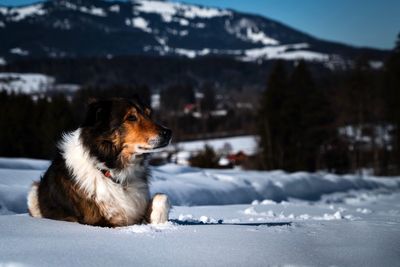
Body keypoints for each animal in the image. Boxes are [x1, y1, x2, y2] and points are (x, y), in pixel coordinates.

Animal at [27, 97, 172, 227]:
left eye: (148, 114)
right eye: (131, 117)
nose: (168, 132)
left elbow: (162, 197)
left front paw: (158, 219)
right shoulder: (99, 221)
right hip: (33, 193)